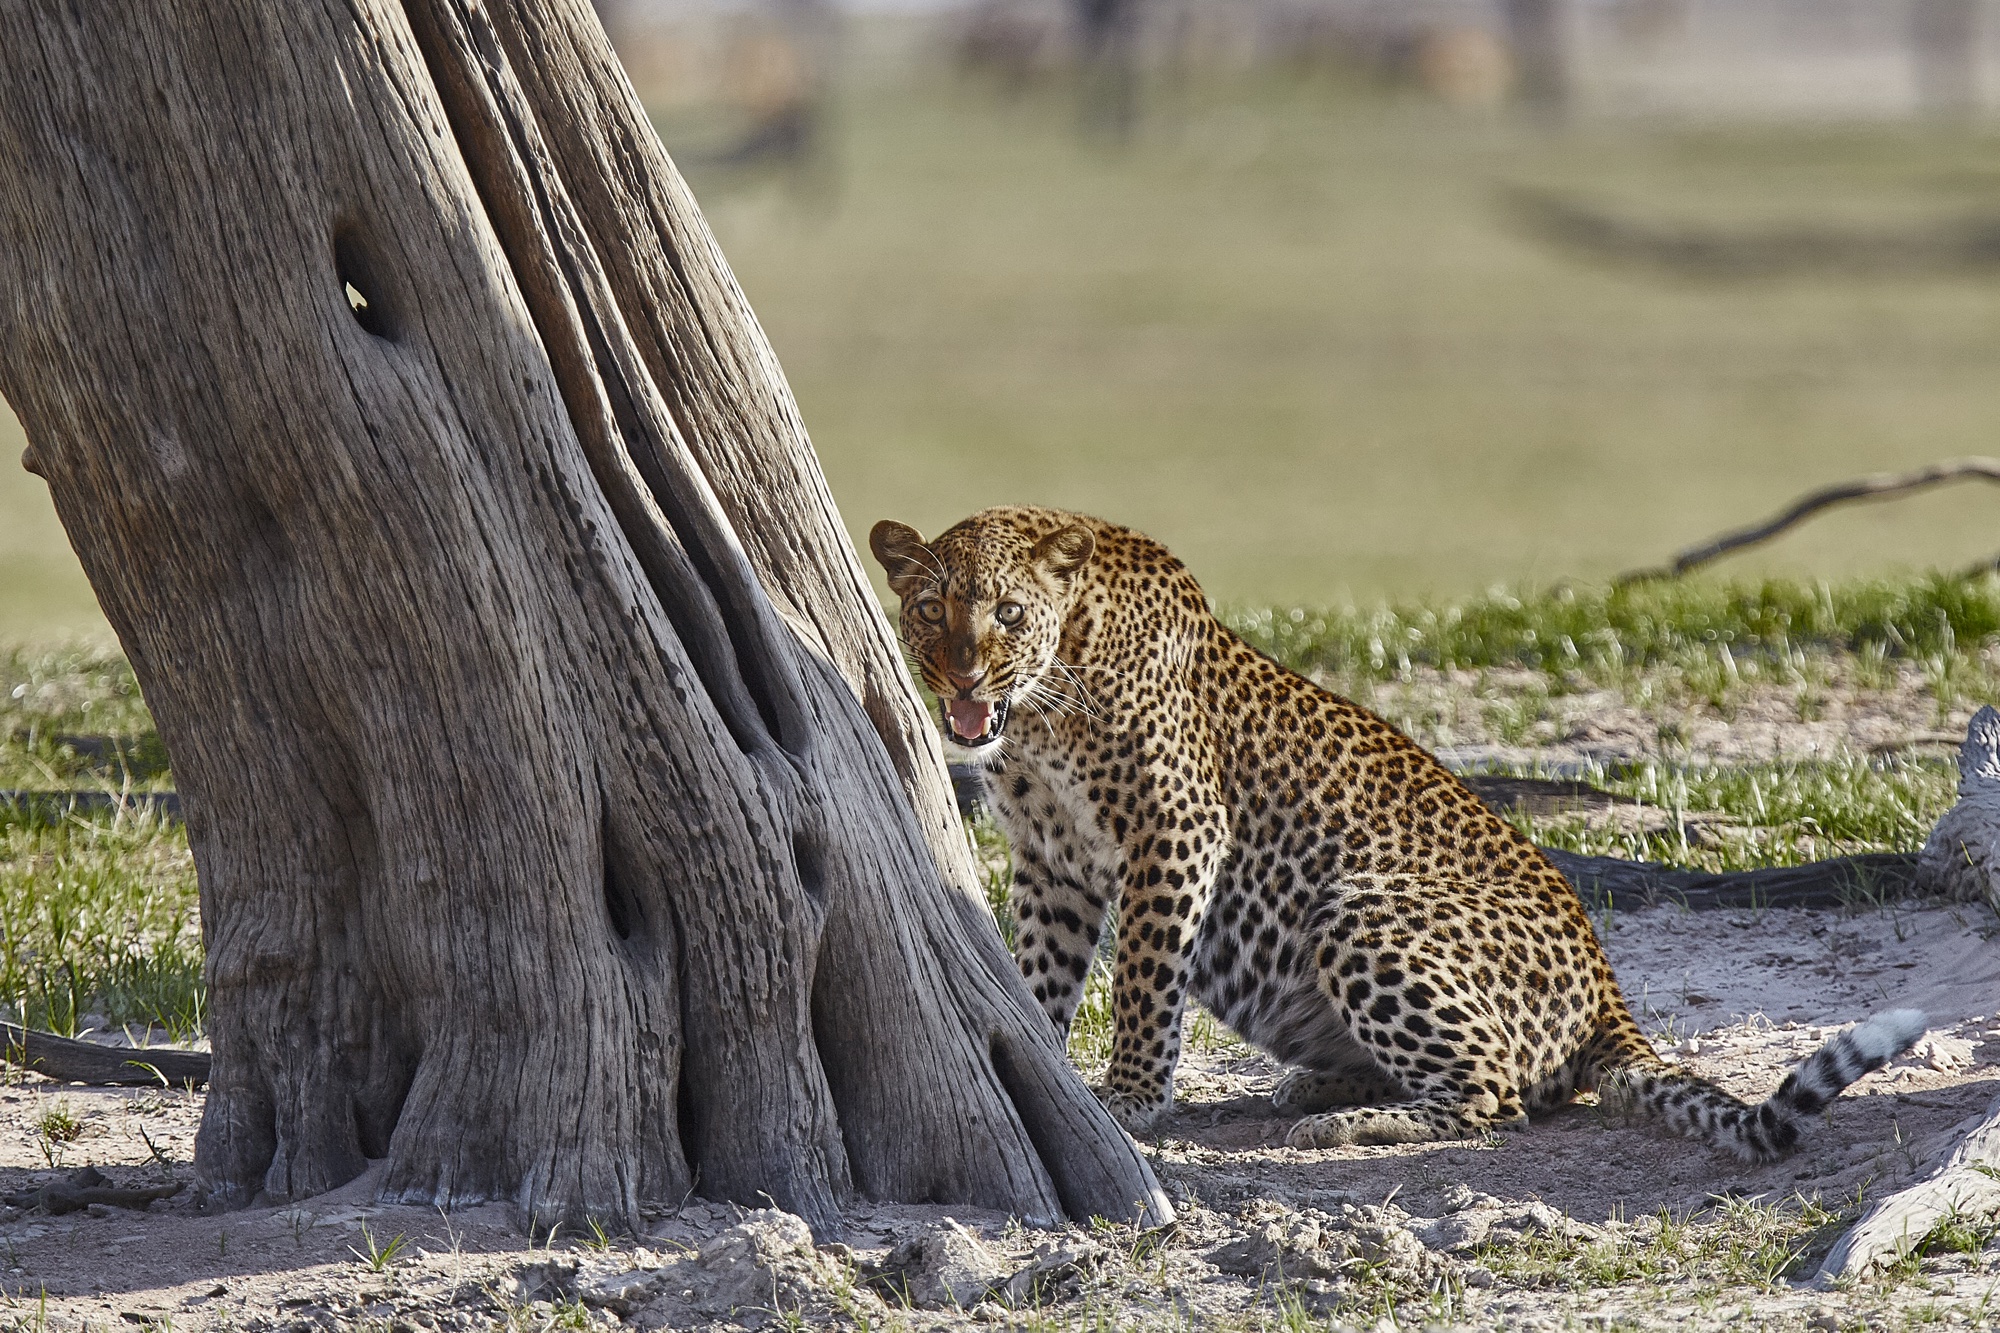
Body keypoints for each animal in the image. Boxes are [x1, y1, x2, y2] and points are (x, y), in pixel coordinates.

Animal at [871, 504, 1926, 1156]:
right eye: (929, 609)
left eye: (1010, 613)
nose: (962, 675)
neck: (1046, 704)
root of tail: (1610, 995)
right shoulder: (1051, 859)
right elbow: (1041, 972)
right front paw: (1040, 1065)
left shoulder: (1176, 829)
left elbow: (1141, 979)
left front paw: (1127, 1098)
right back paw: (1320, 1090)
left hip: (1360, 910)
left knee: (1499, 1096)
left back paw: (1346, 1126)